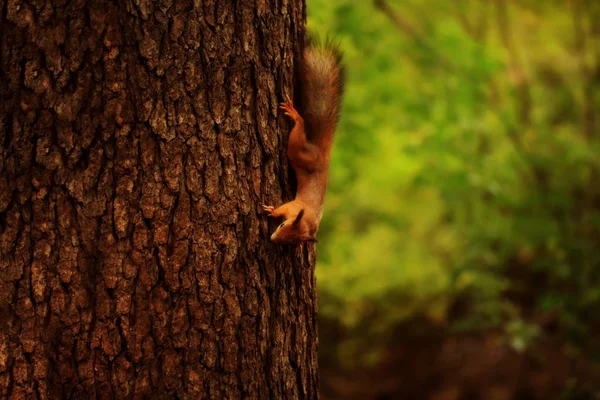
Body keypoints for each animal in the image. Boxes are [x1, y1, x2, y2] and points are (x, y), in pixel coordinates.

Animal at [262, 39, 344, 244]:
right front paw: (272, 211)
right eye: (282, 226)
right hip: (298, 151)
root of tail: (322, 157)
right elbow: (282, 209)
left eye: (292, 241)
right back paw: (295, 115)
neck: (306, 219)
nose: (273, 239)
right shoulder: (293, 206)